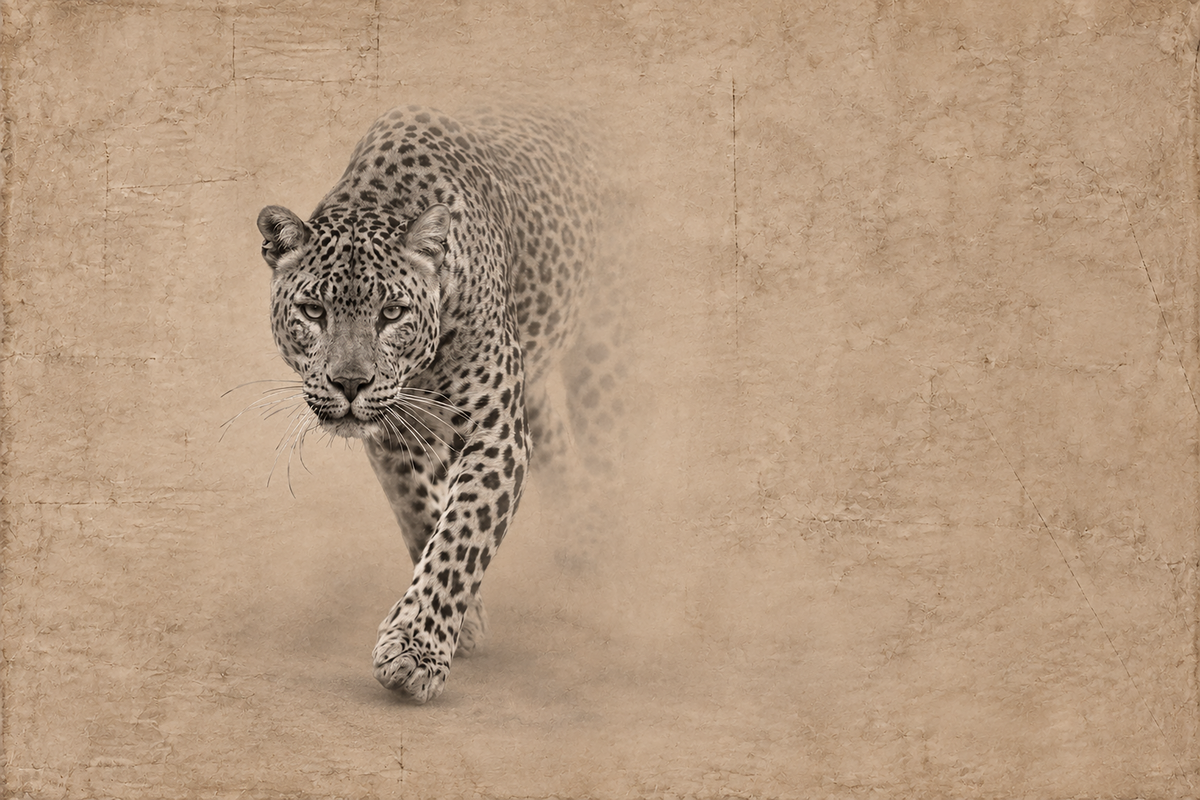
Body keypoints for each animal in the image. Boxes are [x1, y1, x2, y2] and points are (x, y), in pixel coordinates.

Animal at [254, 104, 620, 703]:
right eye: (312, 311)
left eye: (392, 313)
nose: (350, 383)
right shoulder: (393, 437)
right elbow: (422, 516)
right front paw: (464, 624)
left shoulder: (497, 435)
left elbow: (461, 534)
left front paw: (415, 651)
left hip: (607, 349)